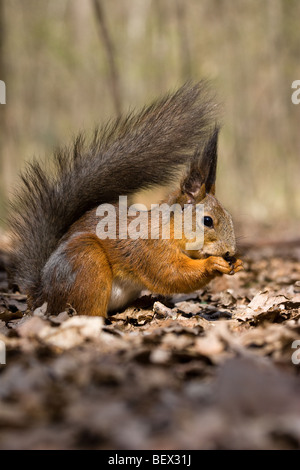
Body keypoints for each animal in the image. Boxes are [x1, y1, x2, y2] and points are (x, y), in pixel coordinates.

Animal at [7, 82, 243, 318]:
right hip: (86, 261)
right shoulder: (150, 248)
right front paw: (212, 264)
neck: (168, 226)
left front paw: (238, 264)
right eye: (207, 221)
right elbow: (171, 274)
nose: (230, 252)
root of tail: (41, 298)